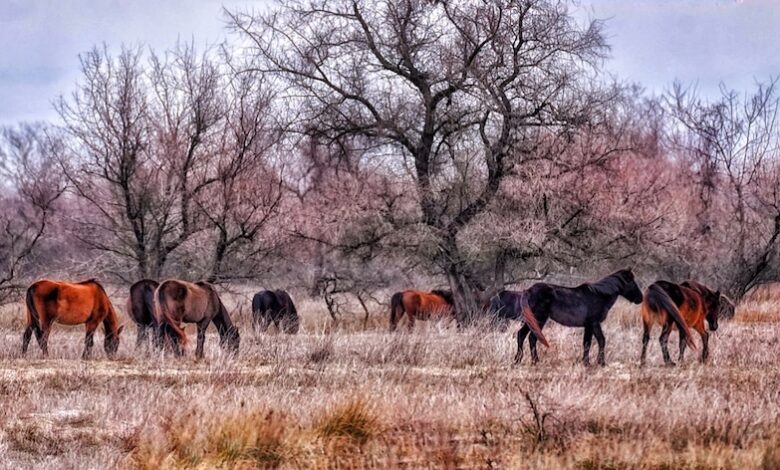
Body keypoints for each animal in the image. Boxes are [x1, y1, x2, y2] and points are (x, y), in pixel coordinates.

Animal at [493, 269, 644, 366]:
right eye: (632, 282)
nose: (640, 299)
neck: (599, 295)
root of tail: (528, 291)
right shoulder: (594, 323)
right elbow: (601, 340)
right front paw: (601, 363)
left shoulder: (588, 326)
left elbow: (586, 343)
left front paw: (586, 363)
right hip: (539, 319)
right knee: (531, 338)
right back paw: (535, 361)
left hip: (532, 320)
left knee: (521, 335)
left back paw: (518, 360)